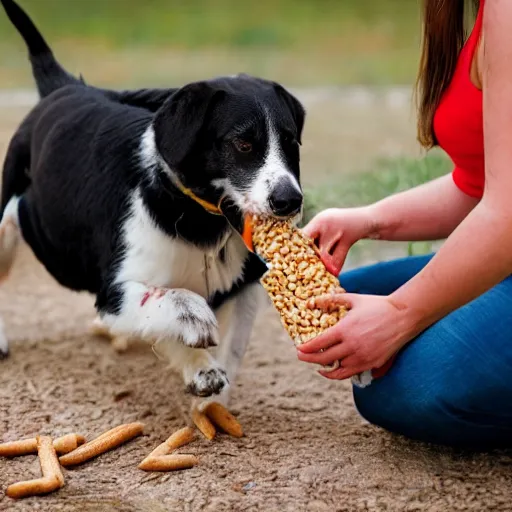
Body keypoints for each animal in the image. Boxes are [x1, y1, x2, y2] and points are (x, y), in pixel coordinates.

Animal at [0, 1, 304, 408]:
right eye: (243, 144)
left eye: (291, 142)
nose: (290, 201)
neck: (201, 220)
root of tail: (64, 87)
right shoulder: (114, 293)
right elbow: (173, 300)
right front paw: (196, 325)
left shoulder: (246, 286)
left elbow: (226, 349)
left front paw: (208, 389)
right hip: (18, 228)